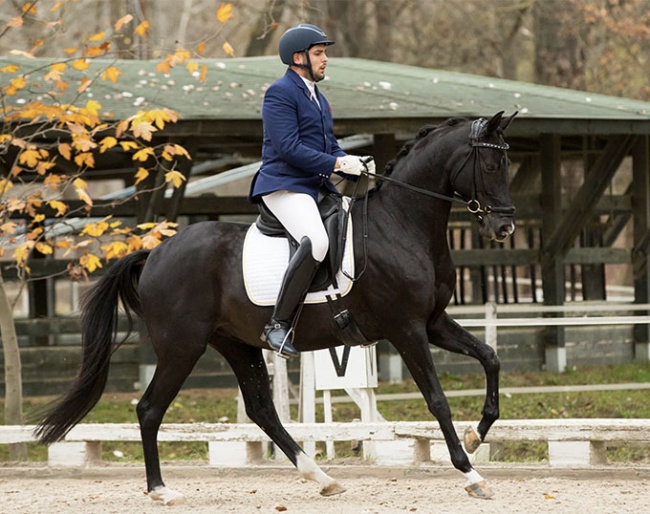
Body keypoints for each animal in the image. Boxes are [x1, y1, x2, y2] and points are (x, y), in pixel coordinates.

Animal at [36, 111, 516, 500]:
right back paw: (160, 490)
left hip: (236, 344)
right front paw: (470, 473)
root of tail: (154, 253)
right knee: (150, 408)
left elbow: (491, 358)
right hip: (181, 347)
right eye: (491, 165)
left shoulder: (433, 321)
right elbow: (437, 399)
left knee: (261, 410)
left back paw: (322, 478)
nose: (505, 227)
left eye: (506, 165)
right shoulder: (407, 329)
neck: (401, 224)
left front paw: (476, 436)